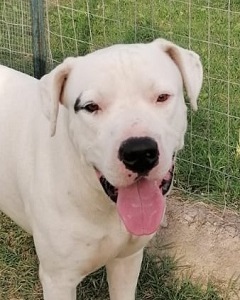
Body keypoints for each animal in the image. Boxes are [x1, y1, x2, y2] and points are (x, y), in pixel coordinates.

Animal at [0, 38, 202, 298]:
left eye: (162, 97)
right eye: (90, 106)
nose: (138, 152)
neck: (102, 202)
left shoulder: (127, 260)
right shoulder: (58, 281)